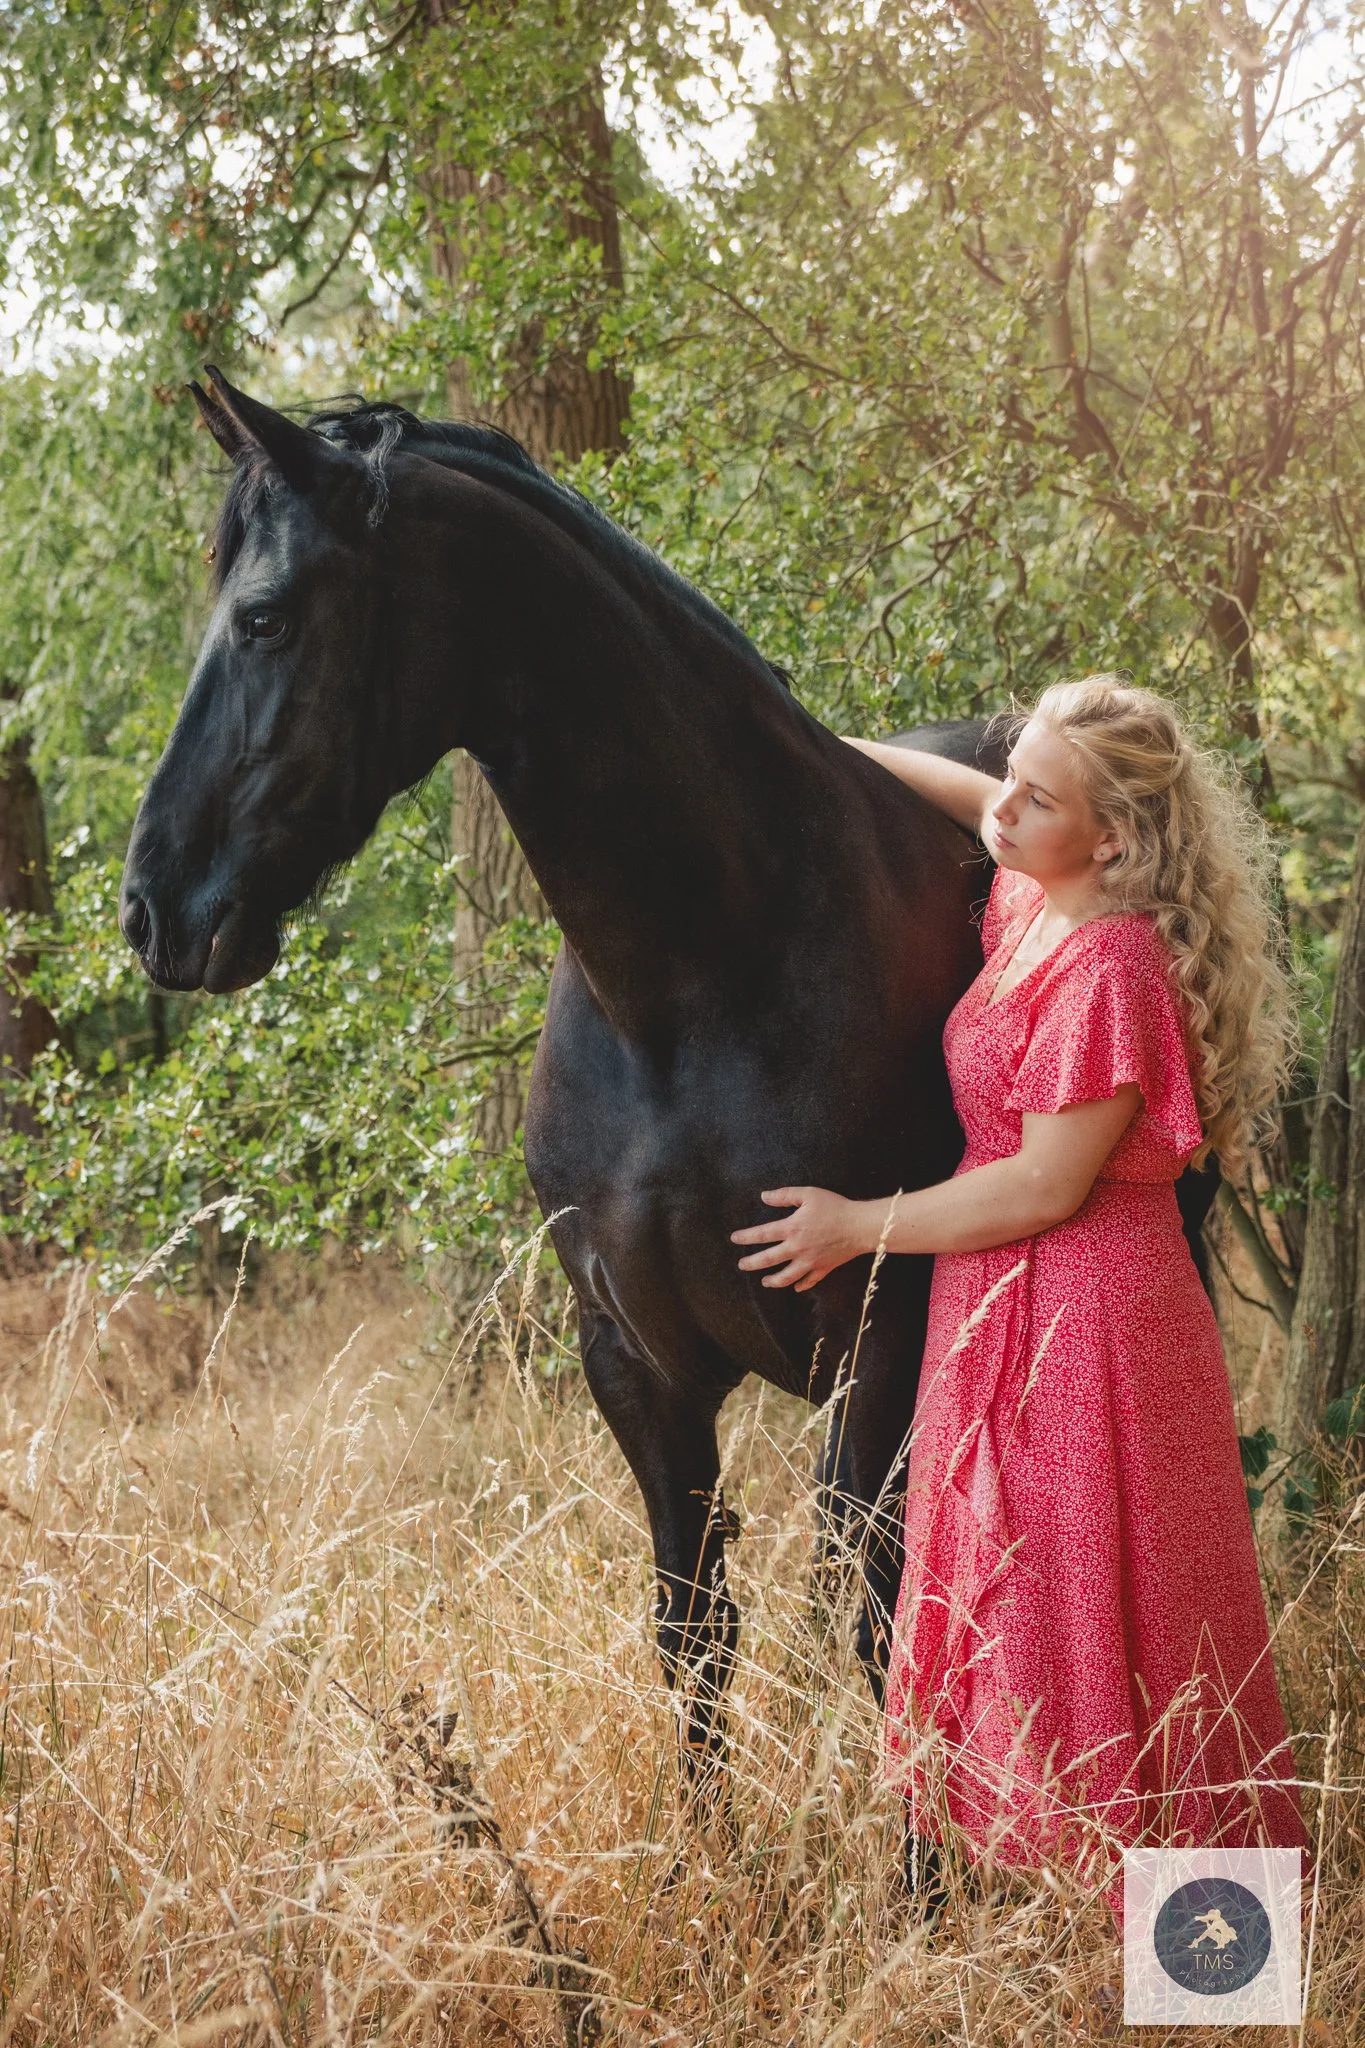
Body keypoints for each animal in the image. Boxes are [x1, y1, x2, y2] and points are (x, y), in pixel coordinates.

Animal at [119, 370, 1216, 1802]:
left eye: (264, 615)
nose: (153, 906)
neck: (703, 976)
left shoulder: (883, 1334)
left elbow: (882, 1613)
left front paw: (919, 1855)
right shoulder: (634, 1362)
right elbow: (693, 1630)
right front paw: (711, 1848)